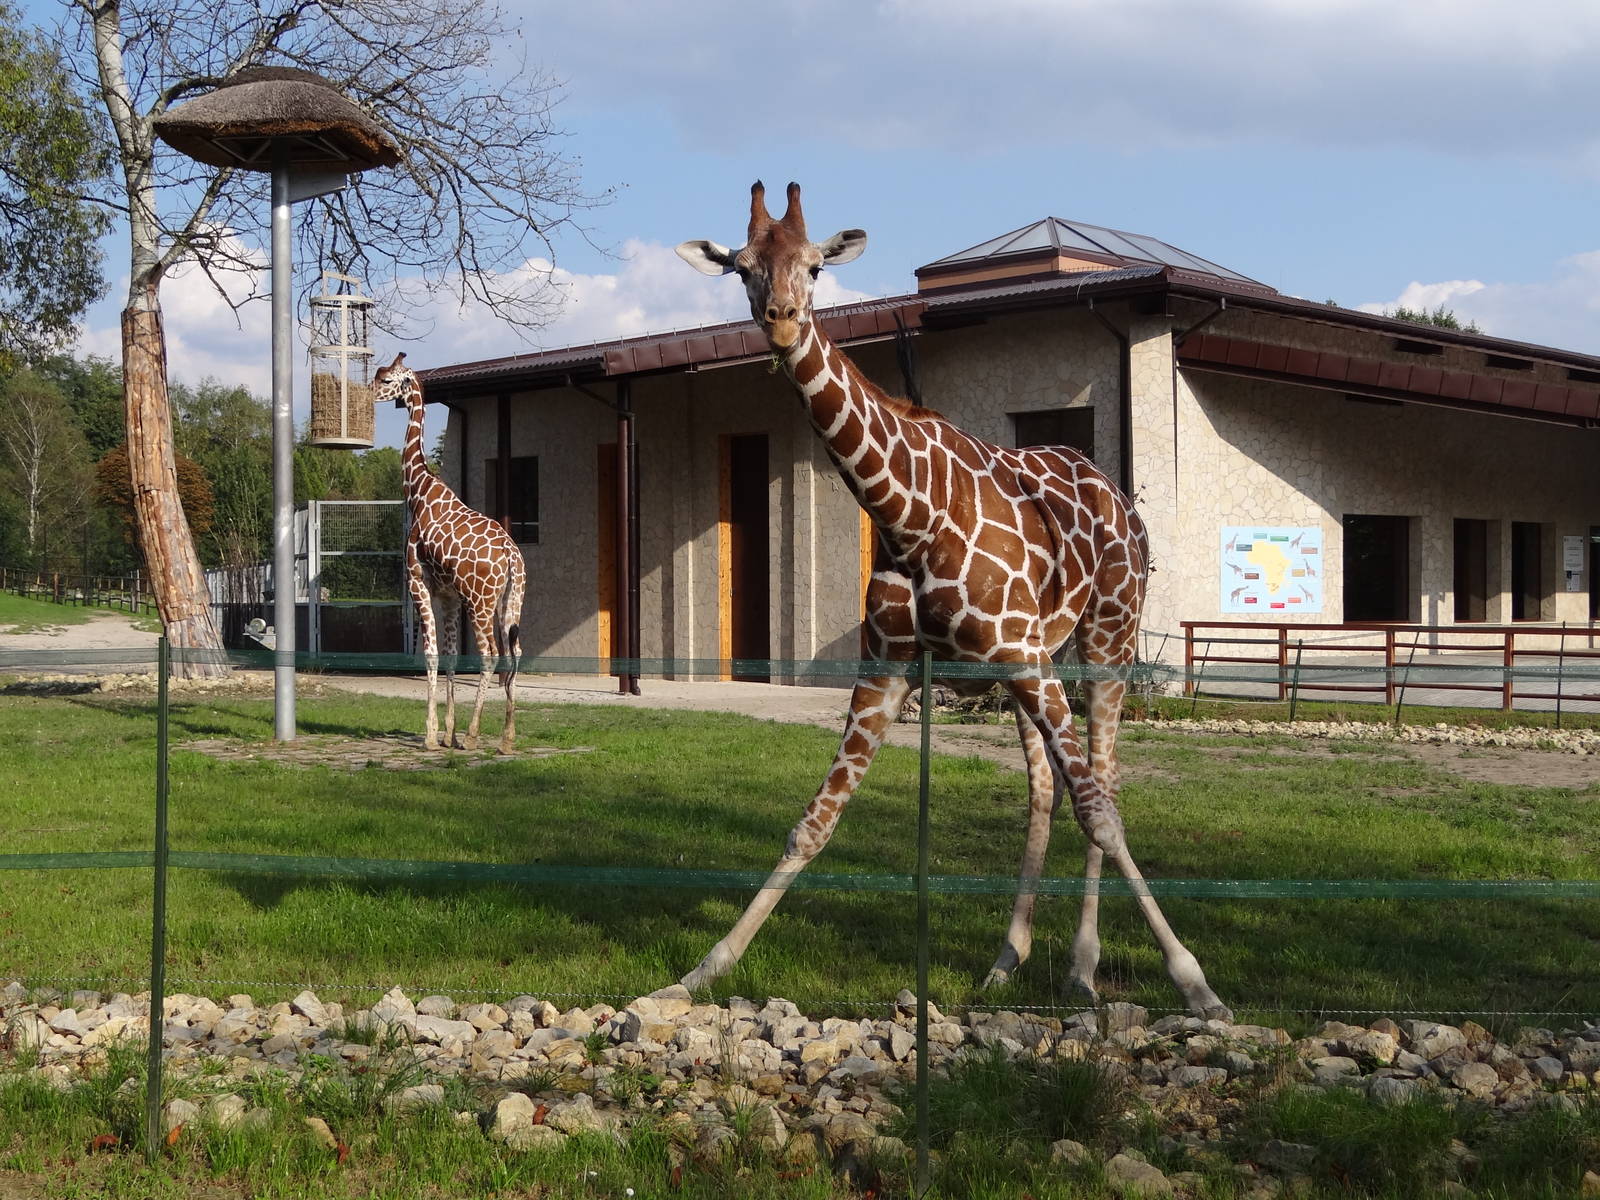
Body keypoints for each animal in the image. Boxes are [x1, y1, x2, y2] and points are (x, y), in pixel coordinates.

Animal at [372, 353, 525, 754]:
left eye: (386, 379)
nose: (368, 394)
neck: (418, 491)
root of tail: (511, 557)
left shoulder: (418, 583)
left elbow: (431, 653)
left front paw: (431, 734)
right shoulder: (449, 596)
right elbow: (452, 655)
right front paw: (447, 733)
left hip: (481, 602)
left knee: (491, 654)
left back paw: (474, 736)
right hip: (509, 600)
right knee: (514, 651)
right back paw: (507, 737)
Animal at [676, 182, 1230, 1019]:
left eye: (815, 265)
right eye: (742, 266)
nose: (781, 318)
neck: (906, 514)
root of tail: (1119, 498)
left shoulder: (1020, 653)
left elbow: (1101, 812)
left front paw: (1197, 985)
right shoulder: (887, 667)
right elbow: (814, 822)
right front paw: (704, 970)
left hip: (1106, 637)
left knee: (1102, 785)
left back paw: (1082, 969)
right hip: (1032, 660)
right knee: (1045, 787)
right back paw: (1007, 961)